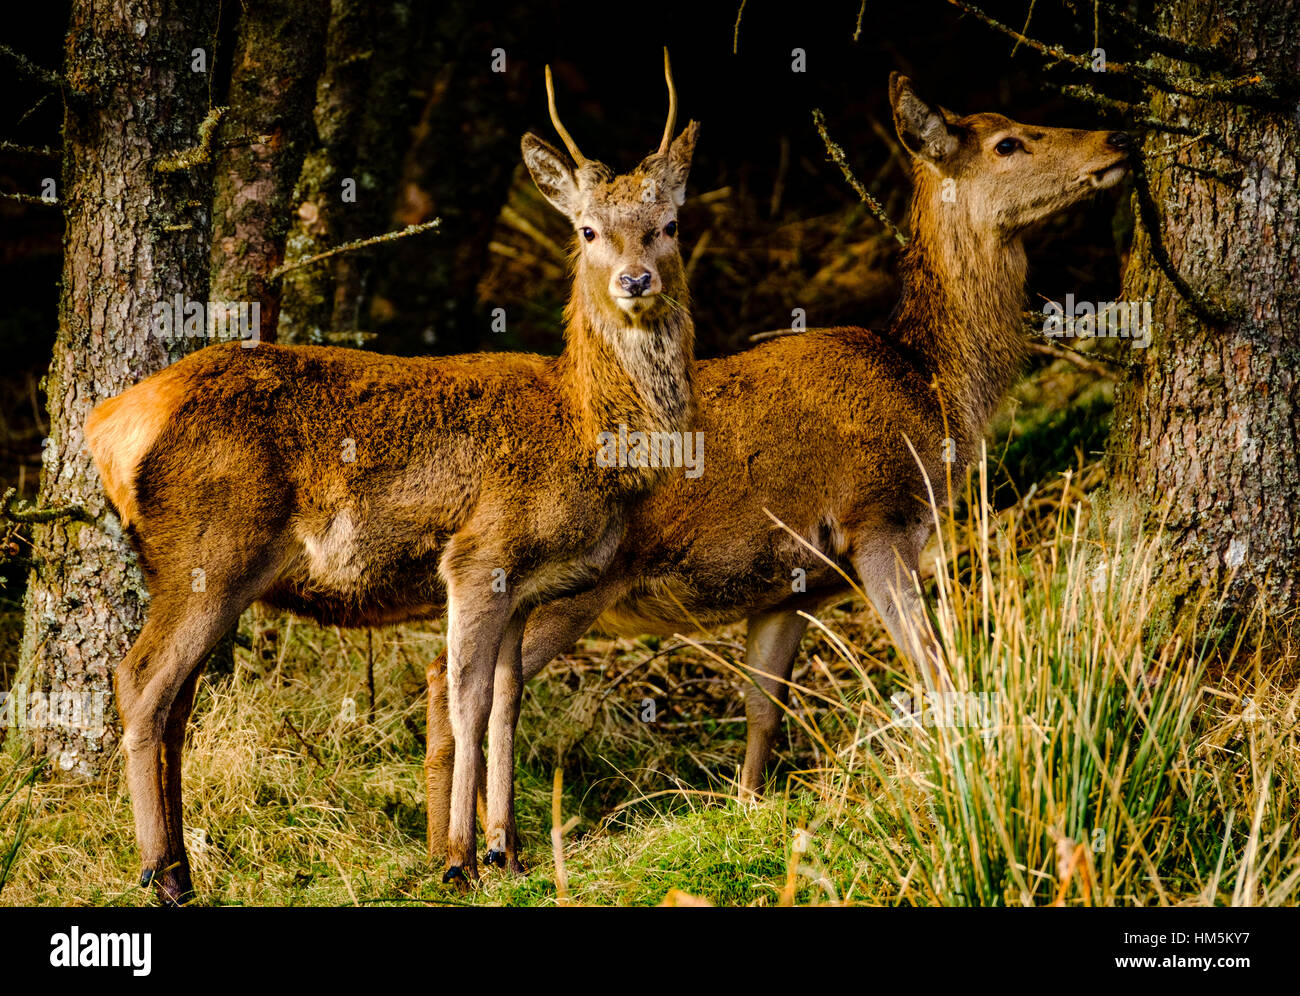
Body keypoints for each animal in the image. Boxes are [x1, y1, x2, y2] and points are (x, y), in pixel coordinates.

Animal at [83, 50, 700, 902]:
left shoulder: (525, 585)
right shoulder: (479, 554)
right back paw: (161, 874)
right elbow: (464, 701)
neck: (584, 426)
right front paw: (458, 858)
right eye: (587, 229)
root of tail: (109, 422)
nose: (637, 280)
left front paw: (510, 853)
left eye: (669, 224)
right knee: (139, 681)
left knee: (176, 702)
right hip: (211, 545)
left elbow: (508, 705)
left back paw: (181, 866)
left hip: (200, 566)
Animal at [425, 73, 1132, 867]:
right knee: (451, 678)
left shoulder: (792, 585)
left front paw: (748, 811)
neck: (931, 388)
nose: (1117, 138)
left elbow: (764, 711)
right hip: (570, 581)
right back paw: (470, 851)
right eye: (1008, 141)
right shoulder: (877, 519)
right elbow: (931, 665)